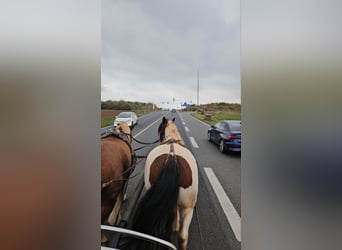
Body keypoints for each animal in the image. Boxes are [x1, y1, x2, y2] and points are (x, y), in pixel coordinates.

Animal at [126, 117, 198, 250]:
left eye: (160, 130)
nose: (160, 139)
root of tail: (172, 157)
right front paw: (175, 224)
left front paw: (175, 224)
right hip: (189, 206)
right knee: (183, 235)